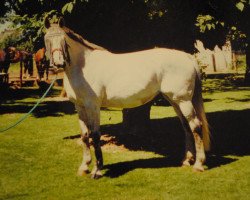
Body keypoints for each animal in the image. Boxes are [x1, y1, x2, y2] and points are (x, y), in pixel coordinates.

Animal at [44, 18, 210, 179]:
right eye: (47, 40)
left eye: (64, 40)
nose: (58, 63)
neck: (83, 67)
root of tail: (187, 57)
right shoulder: (80, 107)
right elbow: (85, 136)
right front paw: (84, 167)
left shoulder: (93, 106)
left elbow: (95, 135)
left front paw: (97, 170)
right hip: (174, 101)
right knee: (186, 127)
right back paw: (187, 161)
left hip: (183, 101)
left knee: (196, 126)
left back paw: (198, 165)